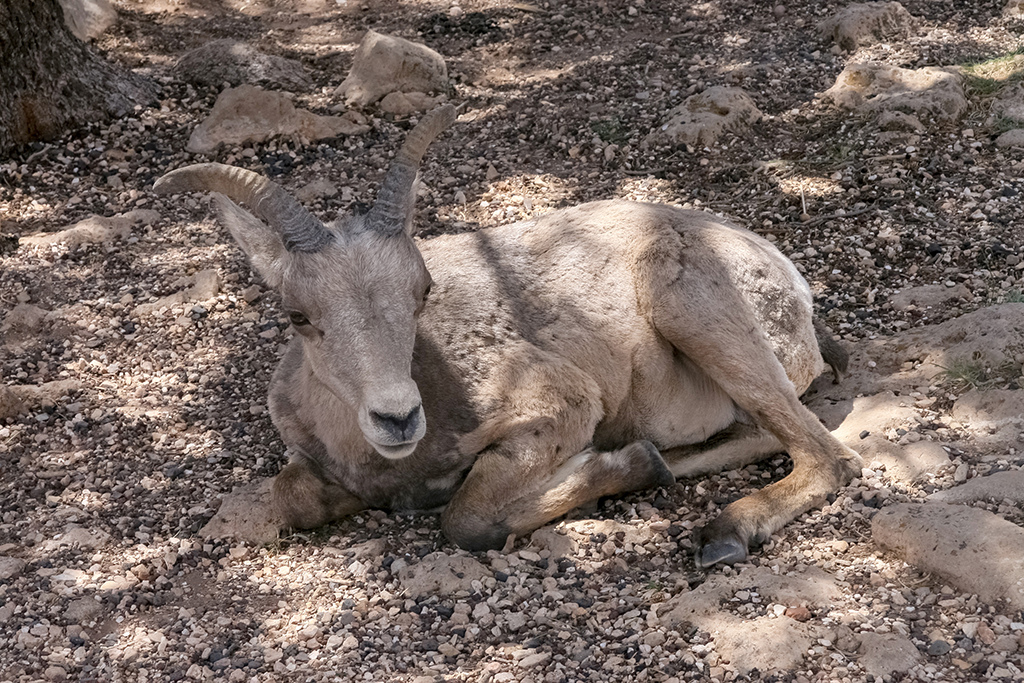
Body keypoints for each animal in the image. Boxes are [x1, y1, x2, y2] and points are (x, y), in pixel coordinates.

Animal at [153, 105, 856, 565]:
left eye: (422, 291)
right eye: (298, 314)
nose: (397, 419)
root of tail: (790, 285)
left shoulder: (554, 408)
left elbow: (467, 520)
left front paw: (620, 465)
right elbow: (291, 498)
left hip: (697, 315)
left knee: (829, 455)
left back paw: (724, 530)